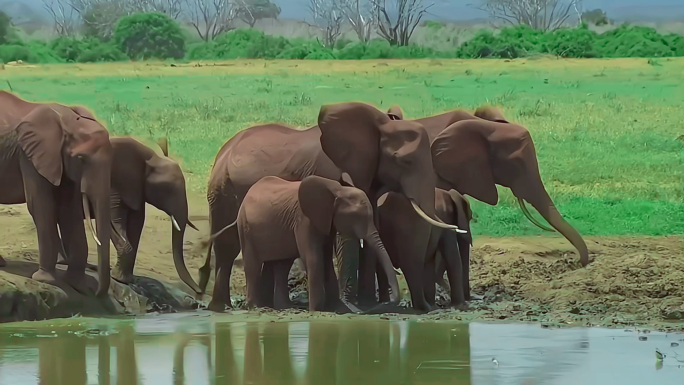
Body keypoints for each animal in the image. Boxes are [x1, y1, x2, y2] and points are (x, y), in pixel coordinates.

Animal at [0, 91, 112, 296]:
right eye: (81, 159)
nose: (97, 293)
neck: (68, 121)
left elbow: (69, 210)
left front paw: (79, 285)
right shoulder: (30, 155)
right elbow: (40, 206)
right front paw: (45, 280)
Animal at [219, 176, 398, 310]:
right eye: (356, 218)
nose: (388, 301)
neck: (337, 190)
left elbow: (325, 258)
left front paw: (334, 308)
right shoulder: (304, 220)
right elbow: (313, 258)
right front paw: (317, 310)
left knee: (282, 264)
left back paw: (286, 307)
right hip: (245, 227)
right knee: (253, 265)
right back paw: (256, 307)